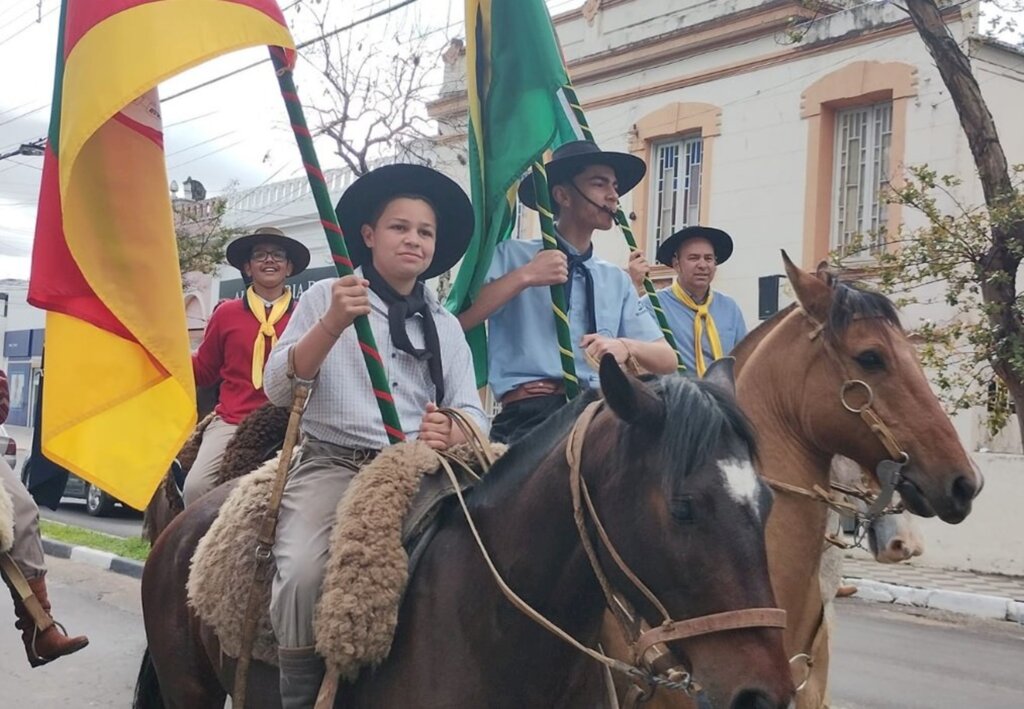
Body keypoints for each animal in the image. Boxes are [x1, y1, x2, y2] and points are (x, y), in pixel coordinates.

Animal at [134, 360, 790, 709]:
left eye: (767, 501)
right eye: (683, 508)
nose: (763, 694)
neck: (495, 627)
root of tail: (183, 528)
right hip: (188, 692)